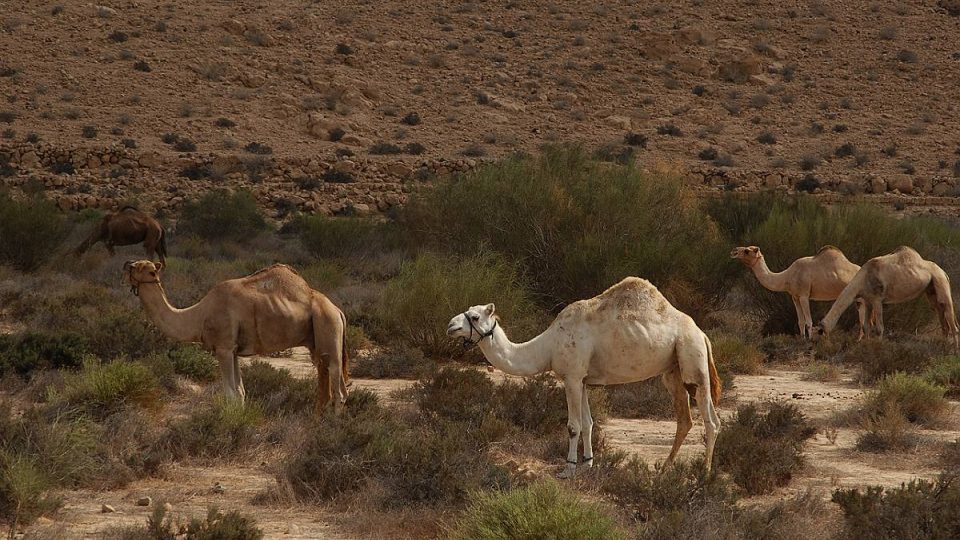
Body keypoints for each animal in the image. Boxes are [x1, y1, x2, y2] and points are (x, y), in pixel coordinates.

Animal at [122, 260, 348, 412]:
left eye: (145, 269)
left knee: (338, 388)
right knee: (325, 381)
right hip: (316, 341)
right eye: (138, 265)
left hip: (328, 325)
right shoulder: (234, 350)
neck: (199, 315)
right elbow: (240, 391)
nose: (127, 264)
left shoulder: (223, 348)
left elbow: (230, 393)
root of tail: (338, 311)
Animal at [446, 278, 724, 476]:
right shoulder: (581, 379)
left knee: (711, 420)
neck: (547, 346)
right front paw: (588, 464)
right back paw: (665, 469)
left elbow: (573, 426)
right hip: (673, 371)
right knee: (685, 419)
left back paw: (704, 473)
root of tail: (703, 334)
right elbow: (589, 423)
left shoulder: (570, 377)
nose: (450, 325)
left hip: (692, 358)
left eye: (475, 317)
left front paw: (568, 468)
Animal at [736, 247, 872, 340]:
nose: (734, 251)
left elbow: (809, 321)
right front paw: (802, 339)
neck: (787, 276)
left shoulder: (804, 295)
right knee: (862, 315)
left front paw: (810, 340)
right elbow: (800, 321)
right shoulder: (795, 297)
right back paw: (860, 340)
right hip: (858, 297)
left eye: (747, 251)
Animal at [812, 245, 956, 346]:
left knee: (951, 320)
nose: (814, 347)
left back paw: (953, 351)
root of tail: (944, 272)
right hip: (931, 290)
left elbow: (879, 328)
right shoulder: (868, 301)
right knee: (942, 317)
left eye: (819, 335)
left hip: (941, 282)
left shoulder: (877, 299)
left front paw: (878, 346)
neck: (862, 279)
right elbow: (866, 326)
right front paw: (865, 345)